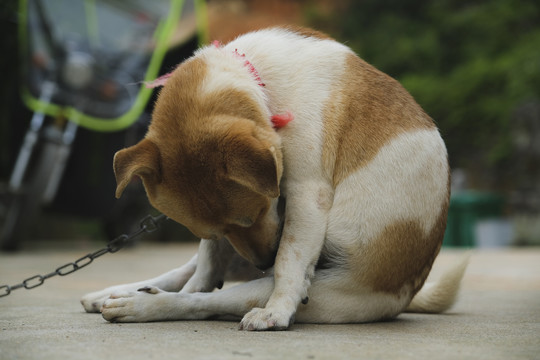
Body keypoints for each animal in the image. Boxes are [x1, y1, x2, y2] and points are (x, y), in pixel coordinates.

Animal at [80, 26, 468, 332]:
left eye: (261, 210)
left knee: (204, 301)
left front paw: (278, 311)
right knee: (188, 279)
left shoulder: (307, 196)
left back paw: (140, 304)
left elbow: (288, 263)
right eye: (220, 230)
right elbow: (206, 266)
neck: (264, 82)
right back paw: (114, 293)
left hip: (282, 290)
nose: (262, 262)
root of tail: (406, 295)